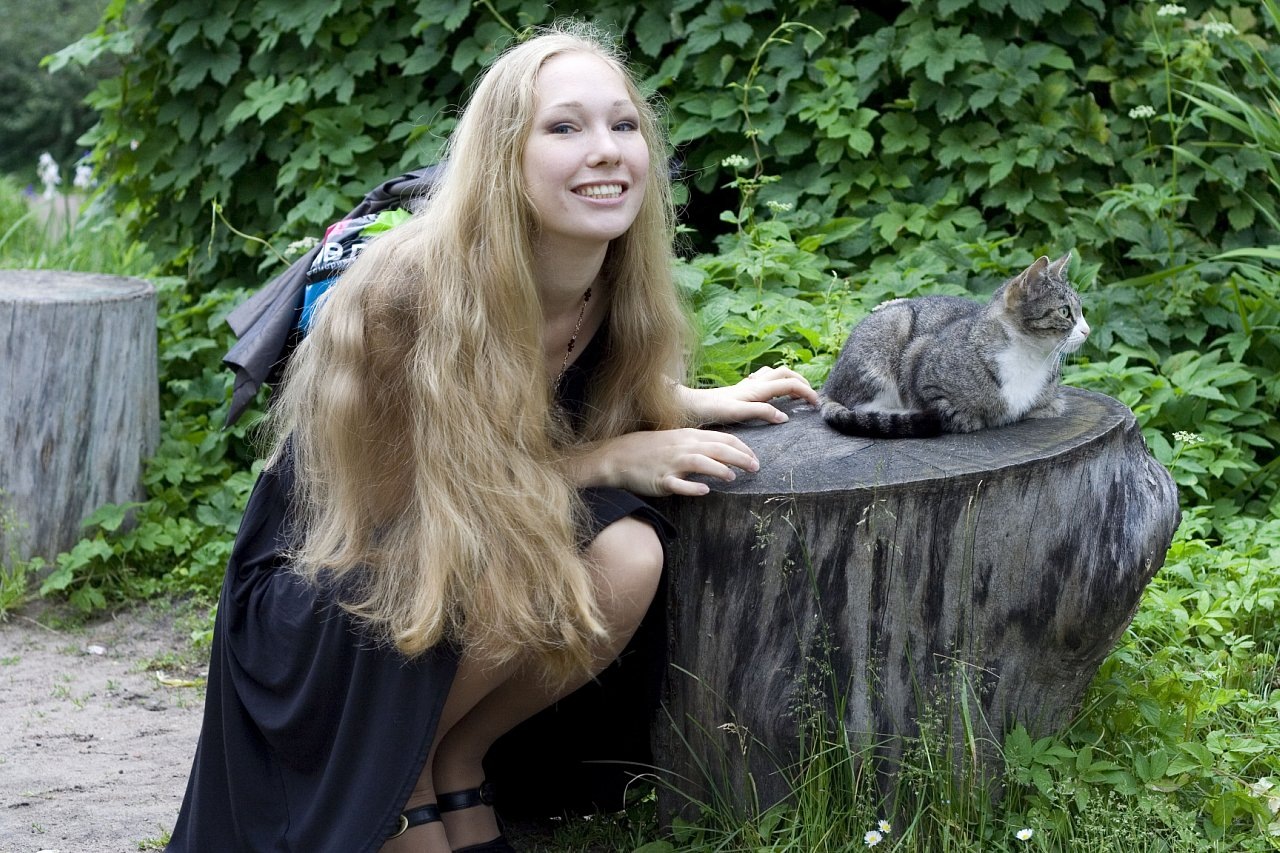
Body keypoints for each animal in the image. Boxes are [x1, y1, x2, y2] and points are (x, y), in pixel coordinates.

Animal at [819, 253, 1089, 438]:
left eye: (1080, 310)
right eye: (1065, 312)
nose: (1087, 331)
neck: (1030, 356)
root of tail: (830, 382)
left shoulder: (1052, 400)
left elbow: (1051, 406)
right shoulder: (920, 363)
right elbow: (947, 411)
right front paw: (971, 418)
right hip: (892, 332)